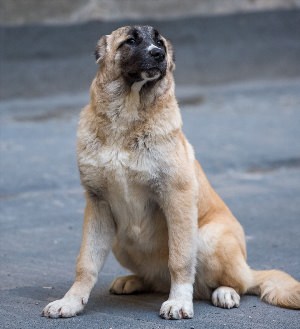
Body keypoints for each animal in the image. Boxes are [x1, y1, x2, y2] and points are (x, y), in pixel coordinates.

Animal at [42, 26, 300, 320]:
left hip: (208, 239)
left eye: (159, 42)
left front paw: (178, 302)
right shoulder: (98, 206)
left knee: (239, 283)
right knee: (156, 280)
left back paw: (225, 292)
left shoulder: (177, 198)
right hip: (119, 239)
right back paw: (133, 280)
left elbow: (179, 260)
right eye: (130, 40)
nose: (158, 54)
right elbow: (86, 263)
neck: (126, 120)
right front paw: (71, 301)